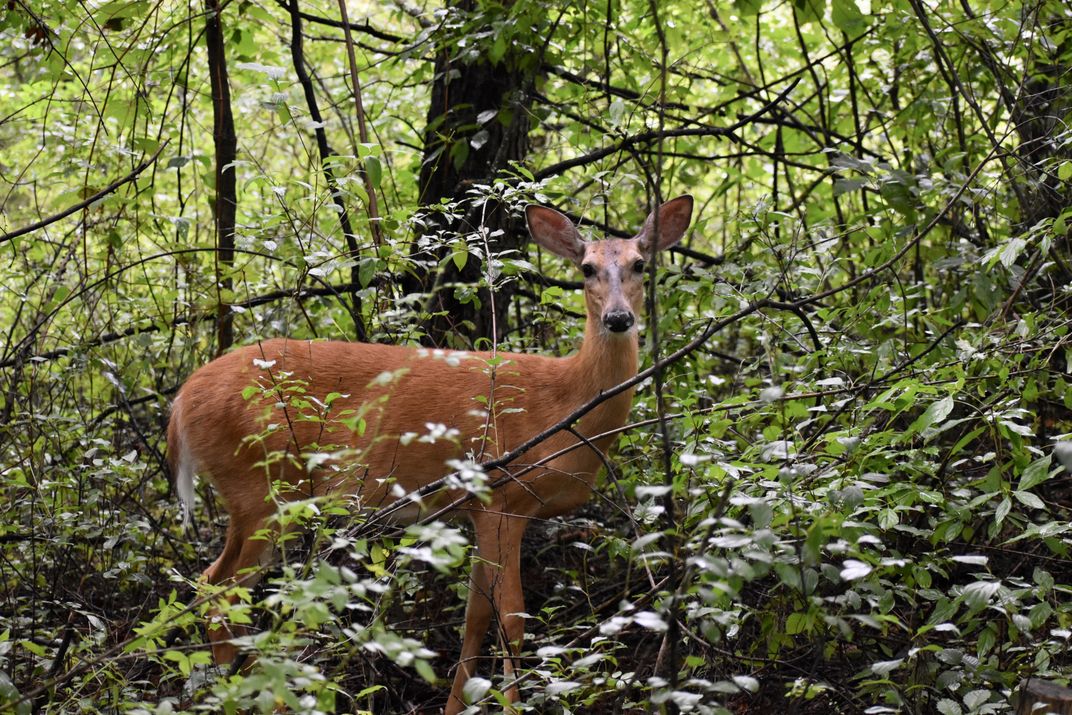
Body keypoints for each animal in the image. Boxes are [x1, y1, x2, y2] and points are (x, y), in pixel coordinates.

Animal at [162, 192, 690, 711]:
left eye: (640, 264)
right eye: (586, 268)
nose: (618, 318)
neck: (565, 401)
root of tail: (182, 403)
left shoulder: (478, 509)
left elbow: (475, 617)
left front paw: (456, 705)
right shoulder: (503, 495)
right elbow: (512, 620)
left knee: (217, 587)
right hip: (259, 486)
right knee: (219, 589)